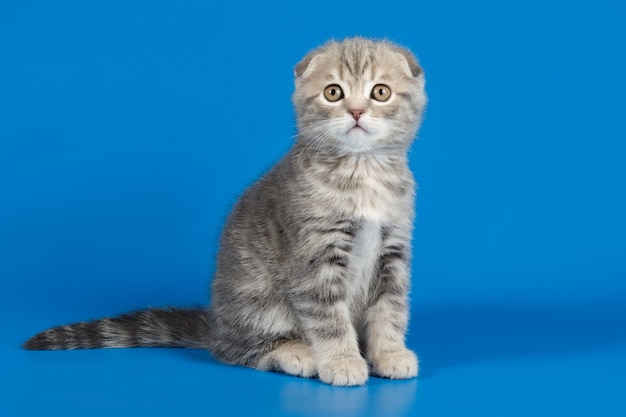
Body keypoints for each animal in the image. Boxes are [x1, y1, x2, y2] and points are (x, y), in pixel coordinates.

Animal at [24, 37, 426, 386]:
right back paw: (295, 353)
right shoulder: (315, 258)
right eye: (333, 92)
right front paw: (342, 361)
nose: (356, 111)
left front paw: (389, 354)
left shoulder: (393, 252)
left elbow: (390, 309)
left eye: (380, 92)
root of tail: (216, 324)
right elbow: (328, 317)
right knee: (233, 350)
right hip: (258, 301)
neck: (362, 172)